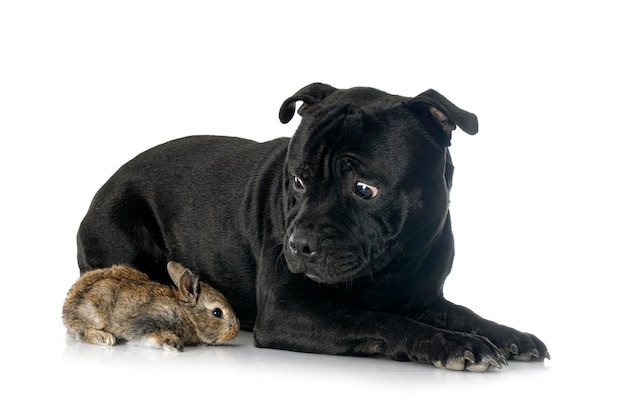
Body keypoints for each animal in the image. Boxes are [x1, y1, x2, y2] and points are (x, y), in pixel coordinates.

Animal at [62, 262, 239, 352]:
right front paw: (172, 344)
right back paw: (105, 338)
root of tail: (66, 309)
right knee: (82, 330)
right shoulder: (147, 322)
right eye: (217, 312)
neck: (187, 315)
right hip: (94, 313)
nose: (236, 329)